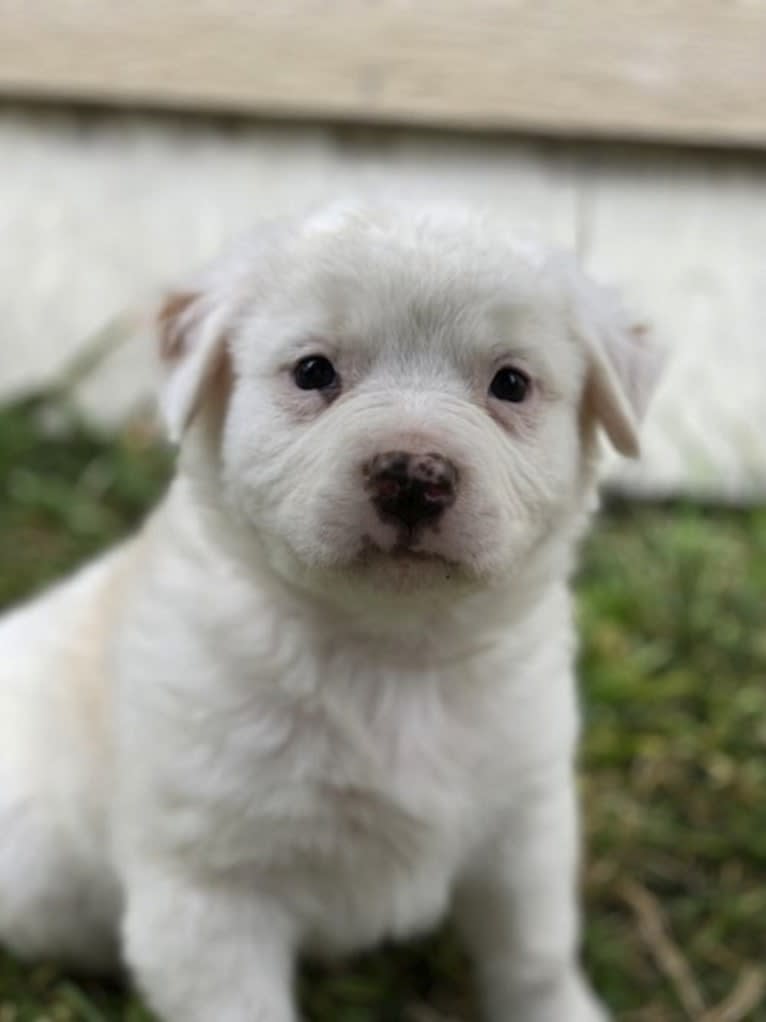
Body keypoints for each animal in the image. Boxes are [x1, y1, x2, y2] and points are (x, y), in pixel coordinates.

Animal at [0, 201, 661, 1021]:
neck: (390, 654)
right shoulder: (208, 887)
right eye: (314, 371)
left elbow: (534, 955)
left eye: (510, 383)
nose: (413, 476)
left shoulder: (524, 824)